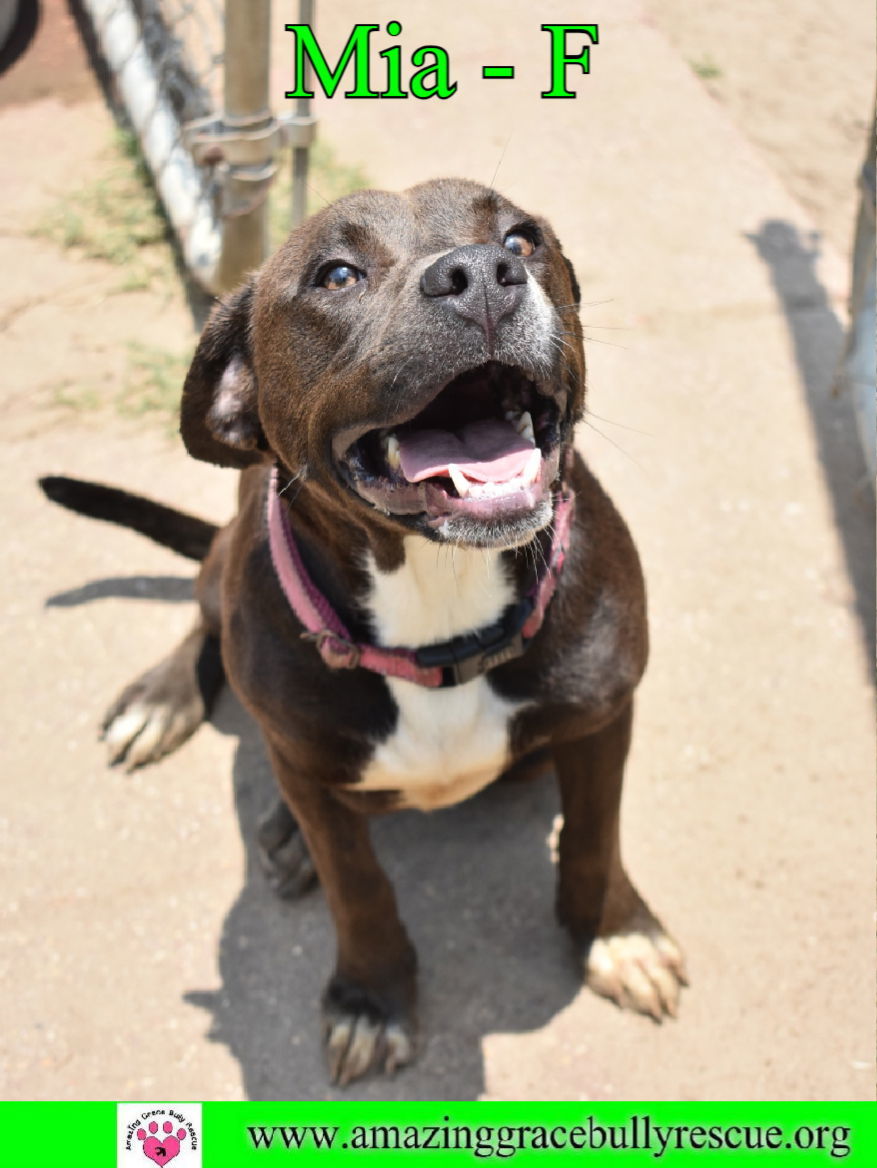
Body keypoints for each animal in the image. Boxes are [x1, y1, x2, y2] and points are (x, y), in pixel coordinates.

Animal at [42, 179, 686, 1083]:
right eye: (336, 275)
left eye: (521, 239)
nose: (479, 275)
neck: (438, 611)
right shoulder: (313, 774)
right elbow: (358, 886)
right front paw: (371, 998)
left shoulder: (601, 718)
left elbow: (595, 837)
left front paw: (616, 934)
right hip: (232, 582)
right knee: (204, 615)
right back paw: (167, 705)